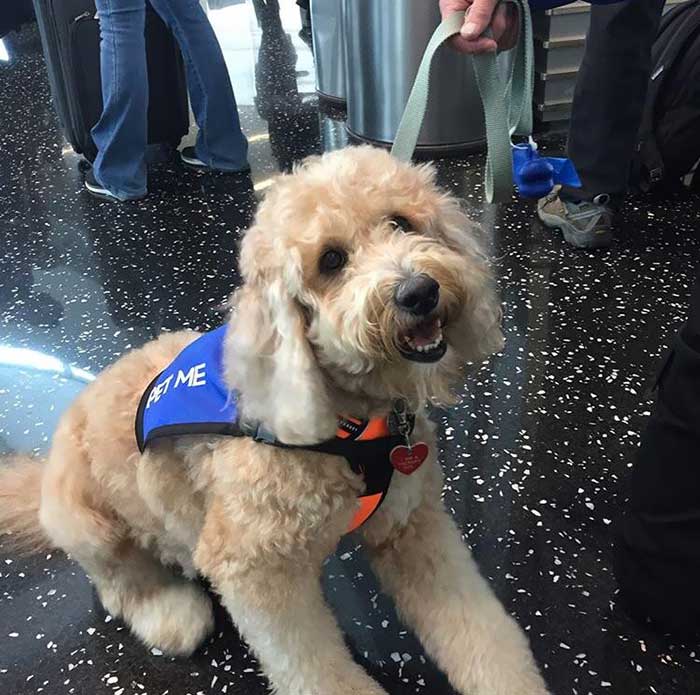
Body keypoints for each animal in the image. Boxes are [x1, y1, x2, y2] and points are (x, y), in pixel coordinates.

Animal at [0, 147, 548, 695]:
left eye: (401, 222)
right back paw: (170, 613)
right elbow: (313, 666)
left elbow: (476, 628)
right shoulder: (257, 571)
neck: (350, 424)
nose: (418, 291)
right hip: (87, 522)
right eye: (331, 260)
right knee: (120, 583)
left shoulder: (411, 526)